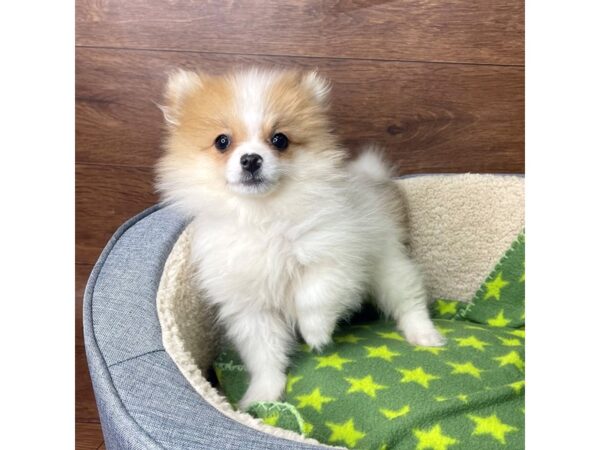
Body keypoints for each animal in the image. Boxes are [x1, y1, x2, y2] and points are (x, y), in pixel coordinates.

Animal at [156, 67, 446, 412]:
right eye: (222, 142)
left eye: (279, 139)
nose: (251, 159)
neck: (263, 215)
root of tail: (373, 181)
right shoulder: (250, 305)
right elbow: (264, 352)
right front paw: (262, 395)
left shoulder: (335, 258)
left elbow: (313, 296)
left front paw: (315, 333)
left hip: (388, 264)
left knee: (408, 300)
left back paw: (424, 335)